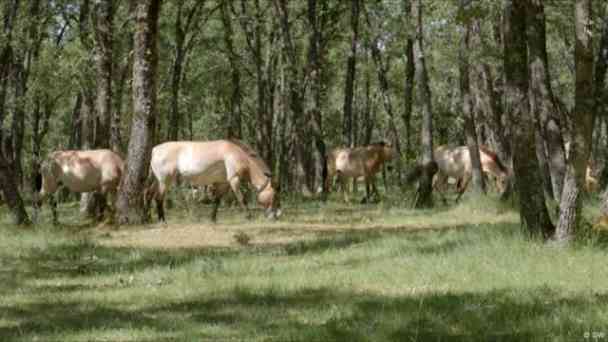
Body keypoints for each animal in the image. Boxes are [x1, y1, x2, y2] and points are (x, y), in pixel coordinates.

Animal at [146, 139, 282, 222]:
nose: (276, 216)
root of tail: (154, 150)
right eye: (275, 196)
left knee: (149, 194)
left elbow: (217, 201)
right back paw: (162, 220)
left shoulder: (224, 183)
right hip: (164, 181)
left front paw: (213, 219)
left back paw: (149, 217)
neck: (238, 154)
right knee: (158, 198)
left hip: (157, 181)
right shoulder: (234, 180)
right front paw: (248, 216)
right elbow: (242, 198)